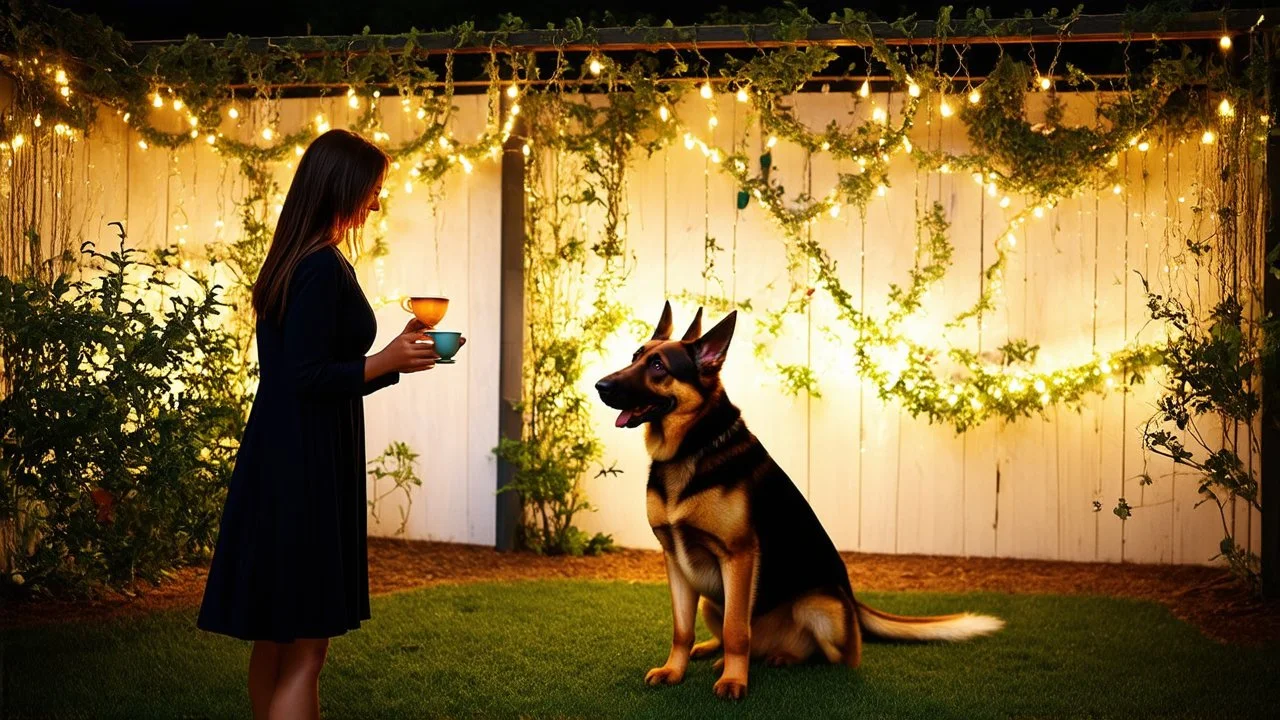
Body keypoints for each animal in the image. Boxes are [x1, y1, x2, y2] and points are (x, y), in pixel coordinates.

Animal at [593, 301, 1003, 696]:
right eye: (634, 356)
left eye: (658, 366)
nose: (599, 385)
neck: (690, 449)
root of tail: (853, 604)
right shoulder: (675, 562)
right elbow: (682, 630)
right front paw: (674, 671)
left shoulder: (738, 557)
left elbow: (736, 630)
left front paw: (734, 681)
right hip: (713, 597)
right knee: (737, 638)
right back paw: (714, 652)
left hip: (819, 605)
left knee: (835, 657)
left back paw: (784, 658)